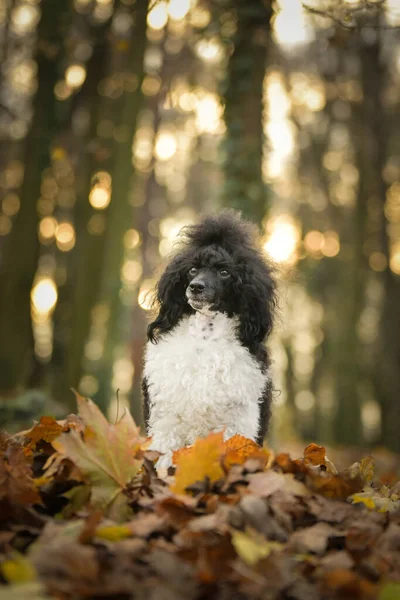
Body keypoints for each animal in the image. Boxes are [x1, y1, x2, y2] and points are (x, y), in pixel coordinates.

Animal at [142, 211, 276, 468]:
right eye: (193, 270)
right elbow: (164, 455)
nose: (196, 287)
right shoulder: (166, 417)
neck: (205, 339)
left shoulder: (240, 420)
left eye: (225, 272)